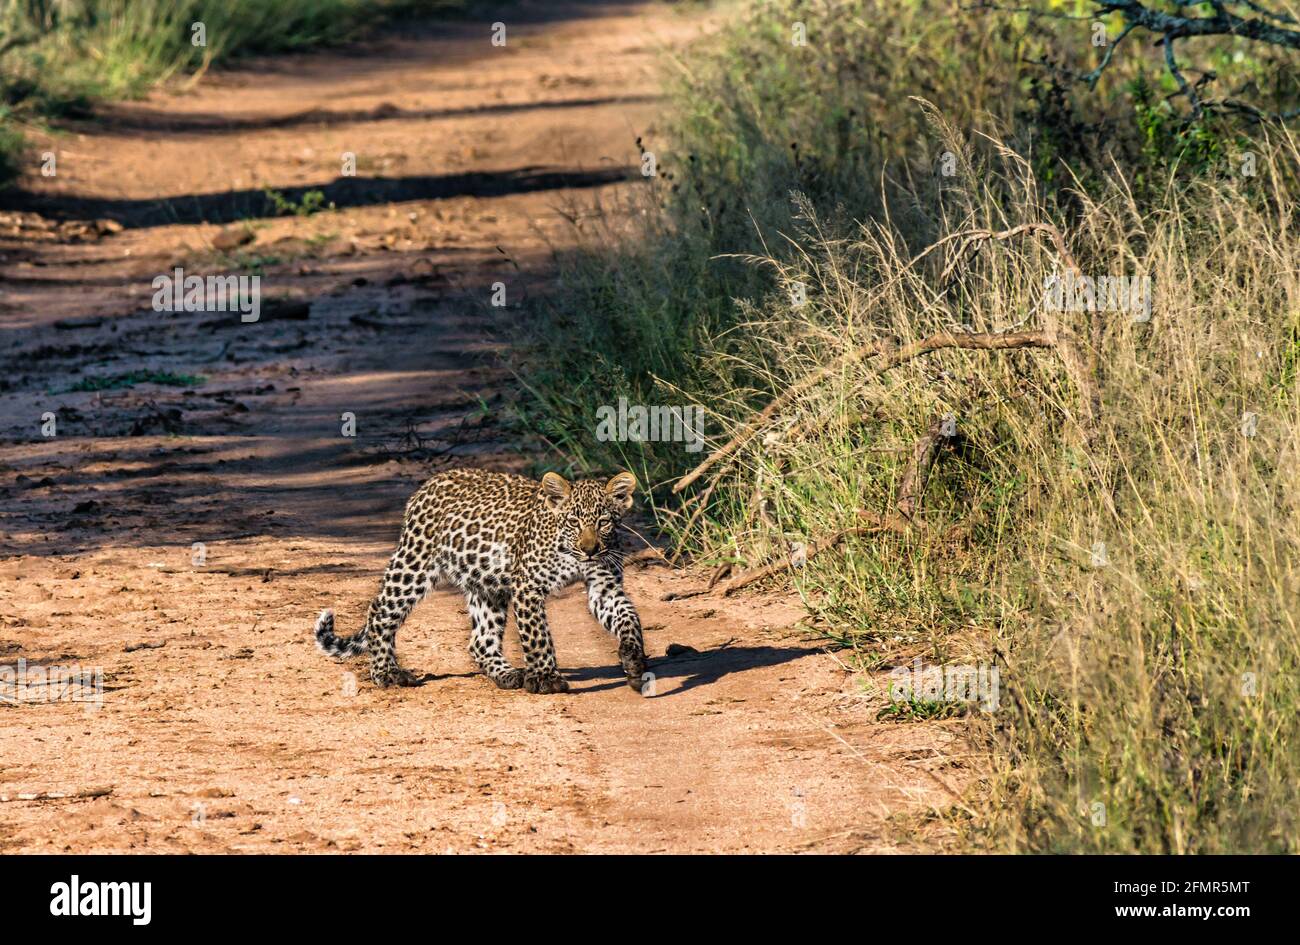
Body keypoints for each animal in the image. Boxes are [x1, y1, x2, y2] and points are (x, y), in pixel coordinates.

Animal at [312, 467, 648, 695]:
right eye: (574, 521)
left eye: (604, 522)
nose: (590, 549)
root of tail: (428, 485)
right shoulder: (528, 587)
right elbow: (537, 636)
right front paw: (545, 678)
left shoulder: (605, 588)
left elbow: (628, 619)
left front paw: (633, 659)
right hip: (414, 565)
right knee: (380, 612)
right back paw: (386, 673)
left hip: (487, 583)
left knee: (479, 640)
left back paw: (507, 674)